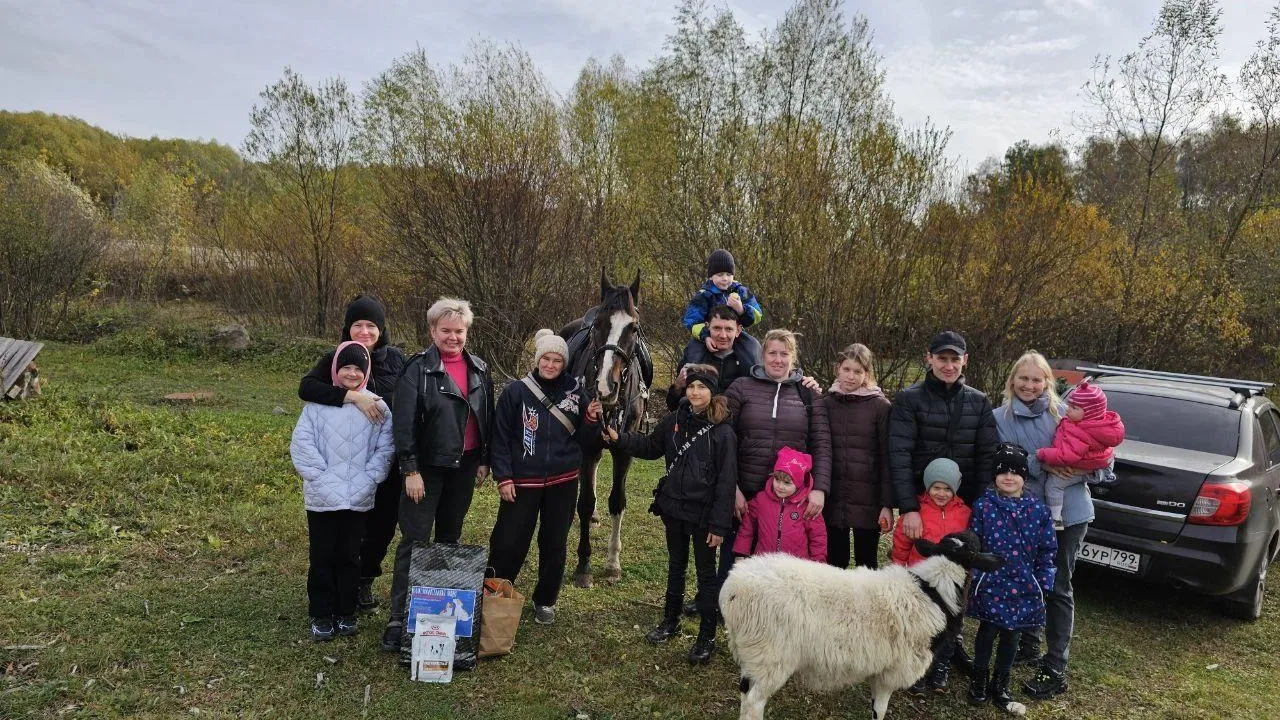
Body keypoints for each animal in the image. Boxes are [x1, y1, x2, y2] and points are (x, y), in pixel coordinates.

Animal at [721, 527, 998, 717]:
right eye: (976, 545)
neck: (934, 592)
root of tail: (733, 588)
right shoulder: (891, 672)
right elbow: (880, 710)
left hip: (753, 656)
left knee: (745, 695)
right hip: (771, 657)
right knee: (753, 703)